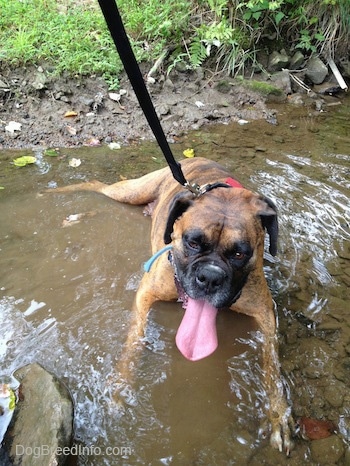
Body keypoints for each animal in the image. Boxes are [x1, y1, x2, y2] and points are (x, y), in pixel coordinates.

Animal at [46, 158, 292, 454]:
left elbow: (272, 367)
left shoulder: (266, 314)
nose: (210, 277)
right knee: (98, 185)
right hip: (131, 192)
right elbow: (134, 342)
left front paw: (278, 414)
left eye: (239, 253)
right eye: (192, 242)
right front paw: (121, 387)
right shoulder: (146, 294)